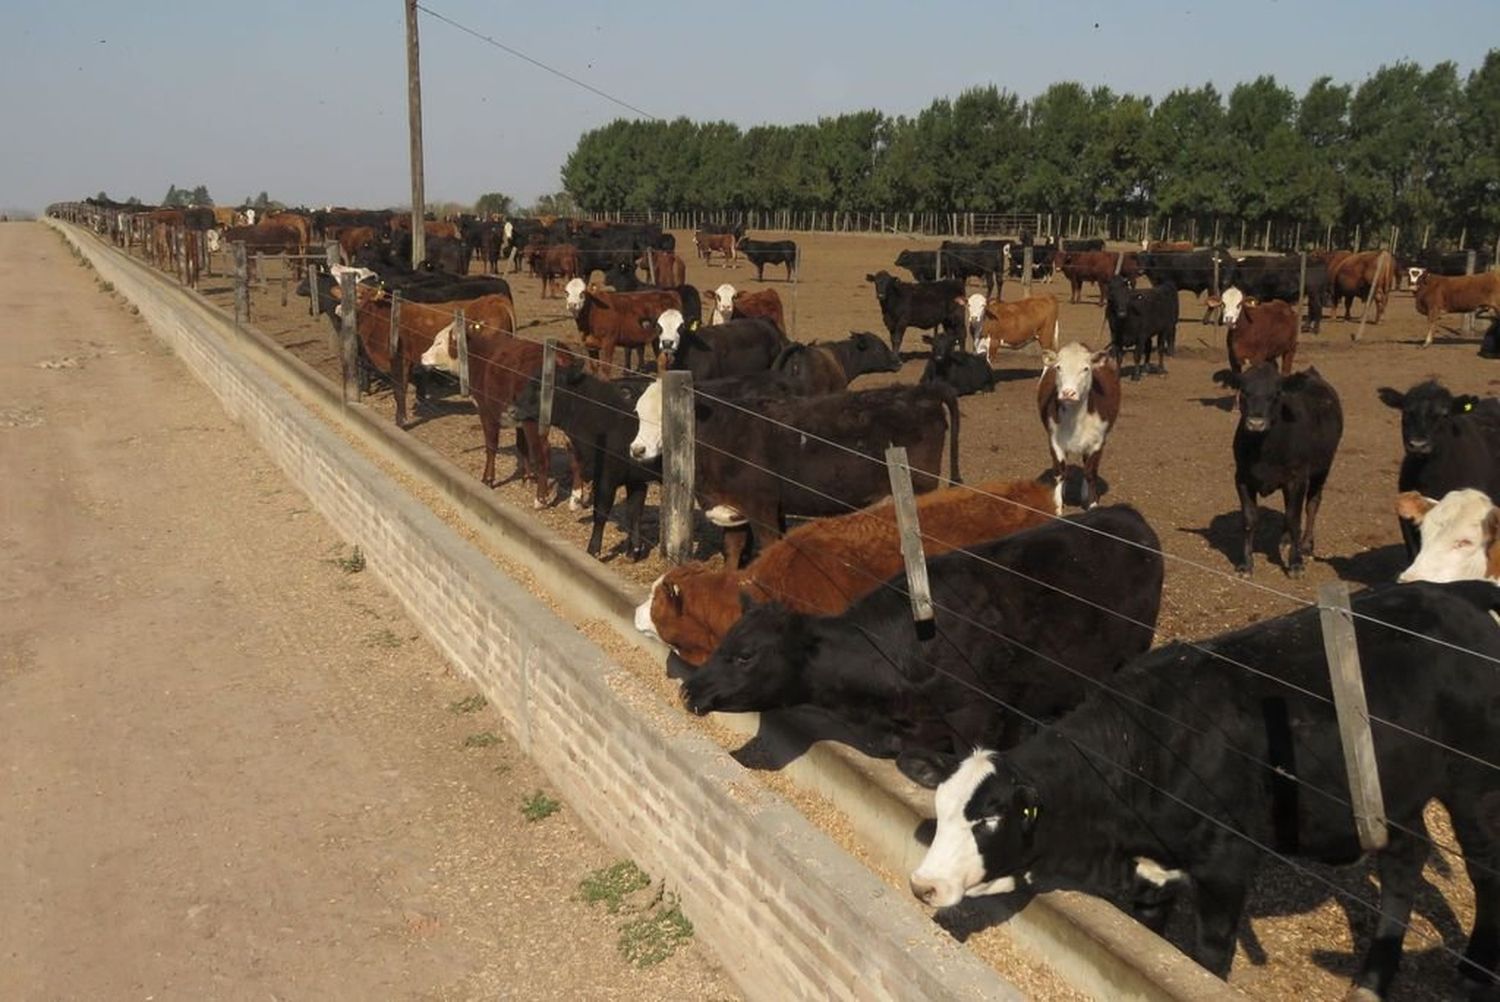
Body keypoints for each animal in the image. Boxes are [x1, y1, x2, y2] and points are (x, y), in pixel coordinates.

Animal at [1212, 364, 1344, 576]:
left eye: (1276, 394)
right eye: (1244, 391)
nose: (1256, 423)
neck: (1264, 451)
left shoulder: (1297, 479)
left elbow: (1294, 518)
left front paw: (1296, 563)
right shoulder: (1242, 478)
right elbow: (1249, 520)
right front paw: (1246, 564)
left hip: (1323, 468)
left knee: (1312, 504)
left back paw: (1306, 545)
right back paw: (1286, 540)